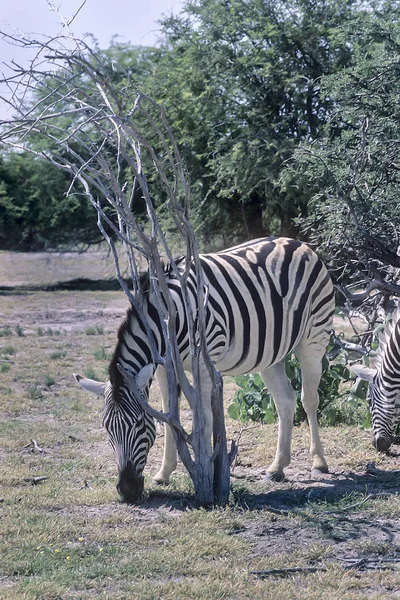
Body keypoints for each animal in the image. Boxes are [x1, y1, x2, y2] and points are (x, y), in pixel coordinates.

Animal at [74, 237, 334, 504]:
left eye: (138, 424)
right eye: (106, 428)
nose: (127, 490)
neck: (168, 317)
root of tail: (295, 242)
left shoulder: (205, 361)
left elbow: (205, 417)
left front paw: (207, 472)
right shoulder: (164, 366)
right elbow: (168, 414)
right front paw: (163, 474)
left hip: (315, 336)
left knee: (309, 399)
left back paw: (319, 462)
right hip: (272, 353)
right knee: (285, 401)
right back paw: (277, 467)